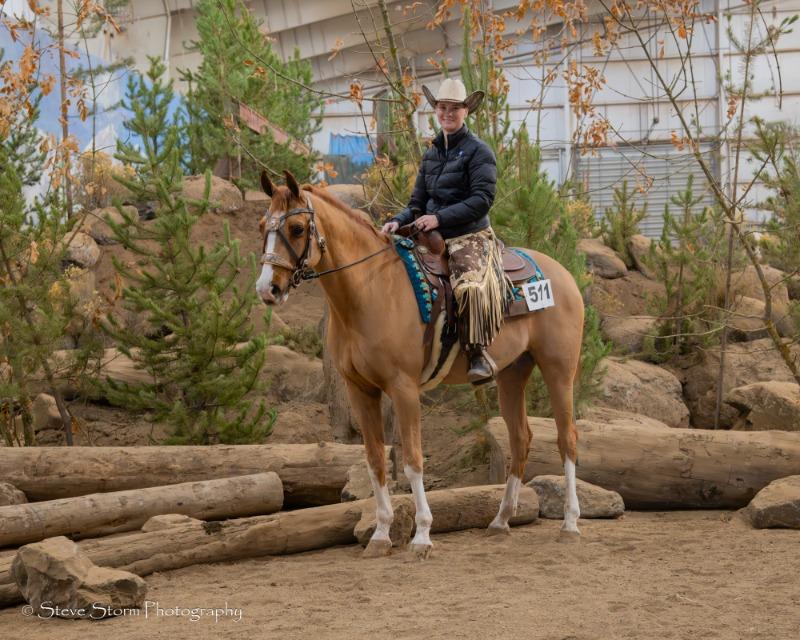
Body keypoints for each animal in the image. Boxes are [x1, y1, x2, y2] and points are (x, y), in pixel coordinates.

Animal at [256, 170, 584, 559]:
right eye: (262, 226)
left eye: (295, 228)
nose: (267, 289)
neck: (370, 290)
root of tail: (562, 273)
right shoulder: (359, 390)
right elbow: (375, 460)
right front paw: (381, 535)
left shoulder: (403, 388)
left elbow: (412, 461)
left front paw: (423, 535)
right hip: (511, 374)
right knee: (521, 438)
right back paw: (501, 520)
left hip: (559, 370)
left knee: (567, 439)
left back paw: (570, 523)